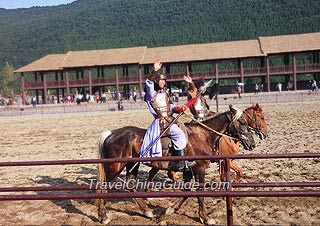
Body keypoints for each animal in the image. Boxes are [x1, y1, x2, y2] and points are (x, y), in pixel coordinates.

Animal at [95, 104, 255, 224]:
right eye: (242, 122)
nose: (252, 143)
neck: (202, 135)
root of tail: (111, 134)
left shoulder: (188, 170)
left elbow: (187, 191)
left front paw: (171, 209)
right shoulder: (199, 168)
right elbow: (200, 192)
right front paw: (206, 217)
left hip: (131, 165)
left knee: (130, 185)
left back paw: (147, 211)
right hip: (116, 166)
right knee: (104, 188)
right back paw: (103, 217)